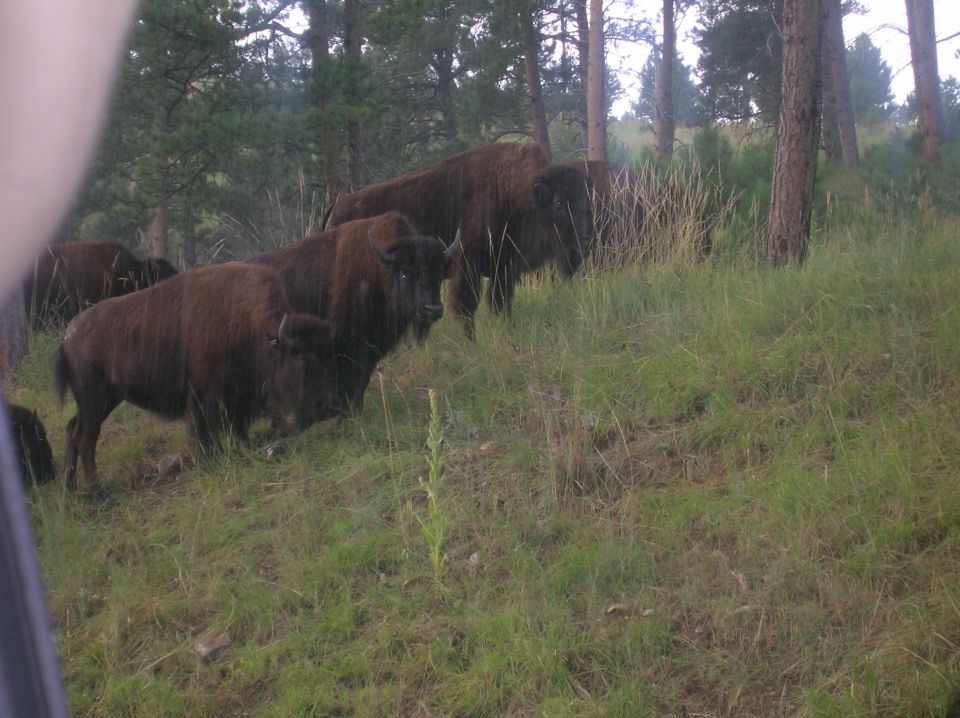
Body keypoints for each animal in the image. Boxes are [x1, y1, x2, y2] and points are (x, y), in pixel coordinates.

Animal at [53, 263, 338, 491]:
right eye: (302, 358)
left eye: (328, 356)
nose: (328, 407)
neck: (256, 330)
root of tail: (67, 336)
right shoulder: (207, 394)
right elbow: (205, 429)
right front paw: (212, 459)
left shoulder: (234, 395)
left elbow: (234, 427)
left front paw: (240, 450)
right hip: (94, 399)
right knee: (86, 437)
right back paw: (95, 489)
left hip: (106, 399)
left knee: (72, 429)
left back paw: (70, 488)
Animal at [250, 211, 459, 412]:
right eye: (405, 273)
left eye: (439, 274)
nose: (433, 309)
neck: (378, 271)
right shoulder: (345, 346)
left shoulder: (369, 349)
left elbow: (360, 382)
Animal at [325, 142, 593, 336]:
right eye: (558, 202)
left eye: (585, 199)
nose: (584, 238)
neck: (516, 193)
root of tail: (336, 209)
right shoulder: (467, 265)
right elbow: (466, 306)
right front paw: (470, 341)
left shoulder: (503, 269)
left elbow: (501, 304)